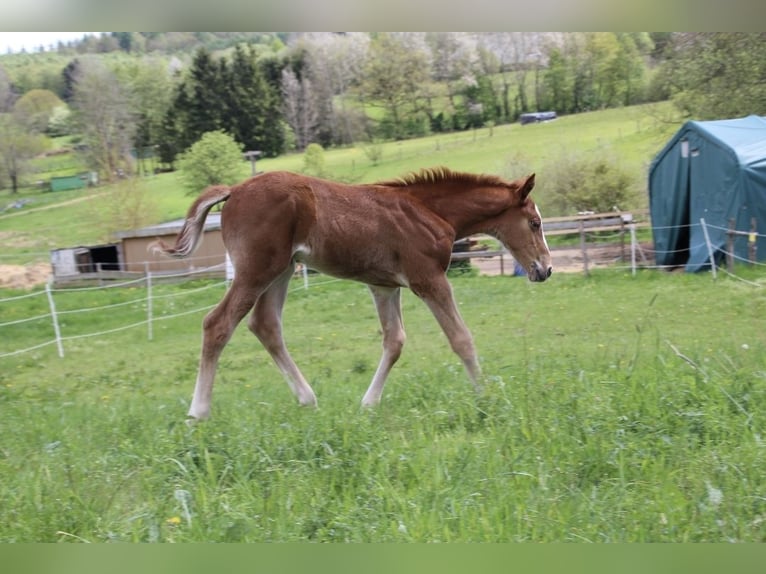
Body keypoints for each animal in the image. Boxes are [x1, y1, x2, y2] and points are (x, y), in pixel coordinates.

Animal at [152, 167, 552, 420]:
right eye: (535, 223)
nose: (545, 269)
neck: (428, 211)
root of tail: (233, 191)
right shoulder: (428, 279)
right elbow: (461, 338)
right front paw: (486, 398)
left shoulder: (384, 286)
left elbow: (394, 342)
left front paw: (368, 405)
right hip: (256, 269)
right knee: (218, 323)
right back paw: (198, 412)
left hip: (282, 270)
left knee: (265, 325)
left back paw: (307, 399)